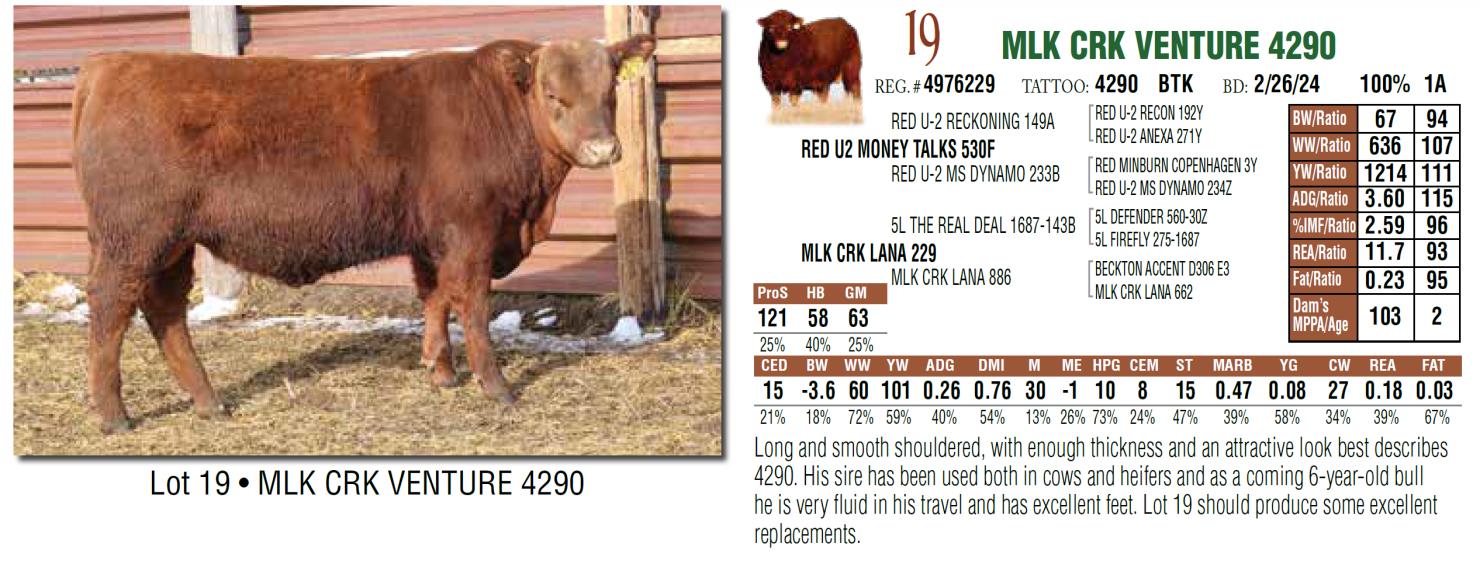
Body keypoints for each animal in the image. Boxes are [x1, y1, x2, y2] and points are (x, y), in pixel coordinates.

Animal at [71, 35, 657, 433]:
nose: (603, 148)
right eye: (553, 95)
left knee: (165, 311)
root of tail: (107, 65)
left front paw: (440, 370)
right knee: (110, 308)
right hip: (134, 237)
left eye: (609, 91)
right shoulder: (470, 231)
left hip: (170, 243)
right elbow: (471, 303)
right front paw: (496, 386)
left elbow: (434, 297)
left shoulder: (430, 237)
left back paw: (208, 401)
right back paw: (114, 413)